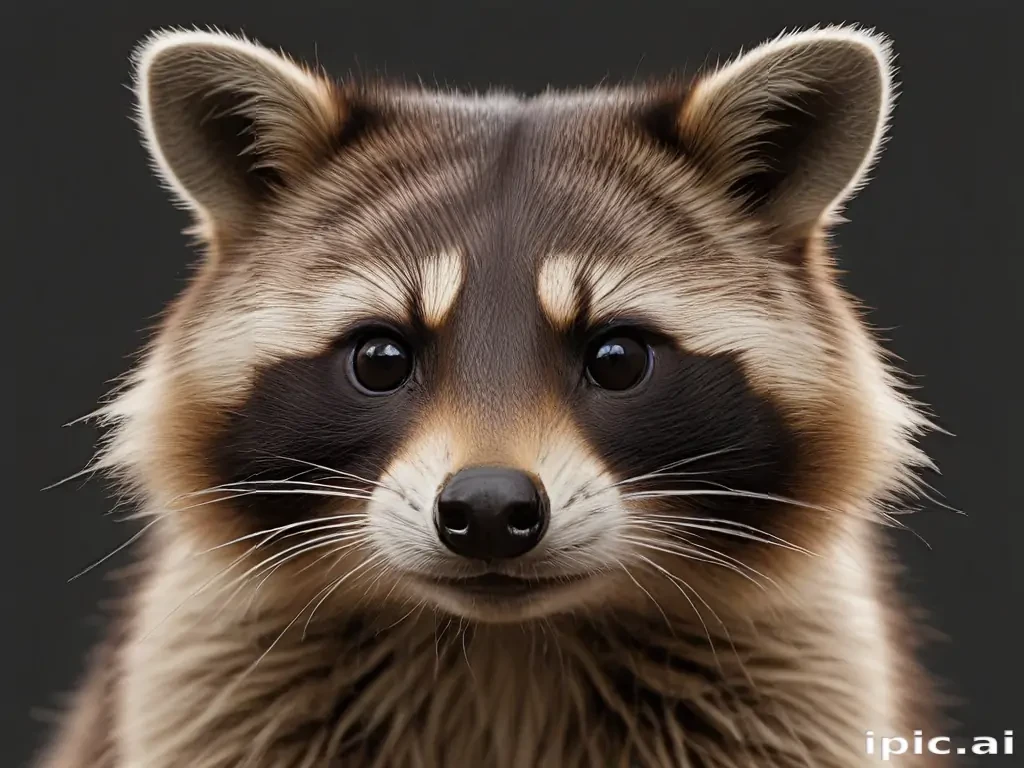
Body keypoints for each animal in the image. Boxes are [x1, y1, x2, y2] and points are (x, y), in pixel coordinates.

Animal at [37, 24, 943, 768]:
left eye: (617, 358)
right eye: (380, 358)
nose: (488, 511)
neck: (504, 650)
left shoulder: (803, 682)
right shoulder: (204, 679)